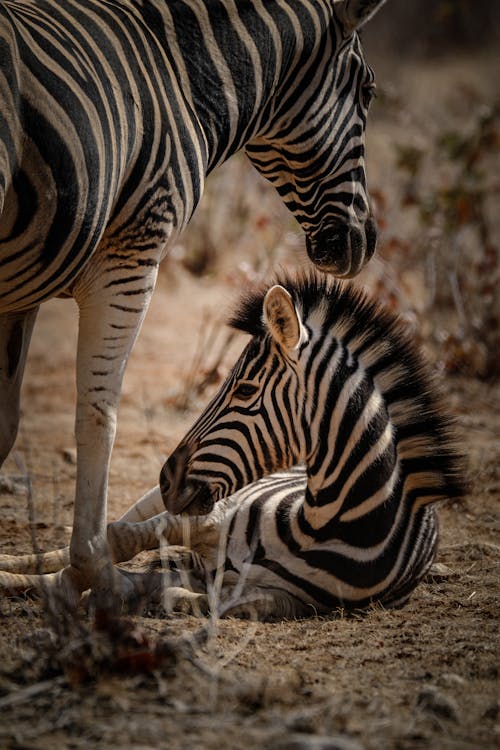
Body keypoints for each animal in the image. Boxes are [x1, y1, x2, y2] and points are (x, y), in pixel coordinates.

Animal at [0, 0, 386, 612]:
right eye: (368, 91)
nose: (364, 244)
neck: (179, 70)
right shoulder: (131, 256)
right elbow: (98, 416)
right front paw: (100, 574)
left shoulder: (25, 286)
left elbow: (6, 426)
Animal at [0, 274, 464, 620]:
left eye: (244, 391)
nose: (166, 479)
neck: (318, 525)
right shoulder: (205, 517)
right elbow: (118, 540)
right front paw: (62, 586)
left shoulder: (289, 599)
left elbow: (197, 596)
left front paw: (115, 592)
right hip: (161, 504)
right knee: (96, 534)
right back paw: (16, 570)